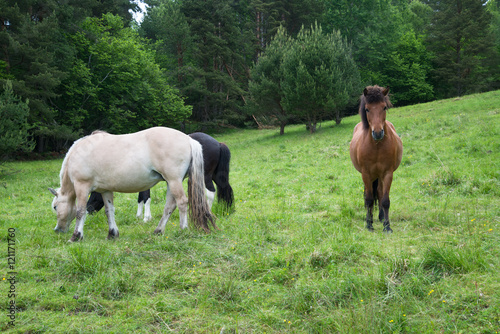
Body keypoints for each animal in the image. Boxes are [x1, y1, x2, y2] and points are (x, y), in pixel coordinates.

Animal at [48, 126, 217, 241]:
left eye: (55, 207)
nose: (57, 230)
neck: (79, 152)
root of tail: (188, 139)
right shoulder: (105, 191)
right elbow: (109, 211)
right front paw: (112, 234)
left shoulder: (82, 186)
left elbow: (80, 211)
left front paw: (76, 236)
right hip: (171, 182)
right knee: (170, 206)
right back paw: (158, 231)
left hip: (174, 180)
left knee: (181, 202)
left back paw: (183, 229)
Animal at [86, 132, 234, 220]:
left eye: (94, 195)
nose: (87, 210)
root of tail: (218, 143)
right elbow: (141, 197)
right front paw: (139, 216)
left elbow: (146, 197)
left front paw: (146, 217)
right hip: (215, 175)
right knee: (225, 188)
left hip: (205, 176)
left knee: (210, 192)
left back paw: (208, 211)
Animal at [350, 86, 404, 232]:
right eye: (367, 109)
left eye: (384, 107)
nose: (378, 133)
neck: (377, 147)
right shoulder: (366, 174)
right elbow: (368, 199)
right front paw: (369, 224)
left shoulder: (387, 173)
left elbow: (385, 200)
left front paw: (387, 226)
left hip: (379, 175)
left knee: (379, 192)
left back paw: (381, 217)